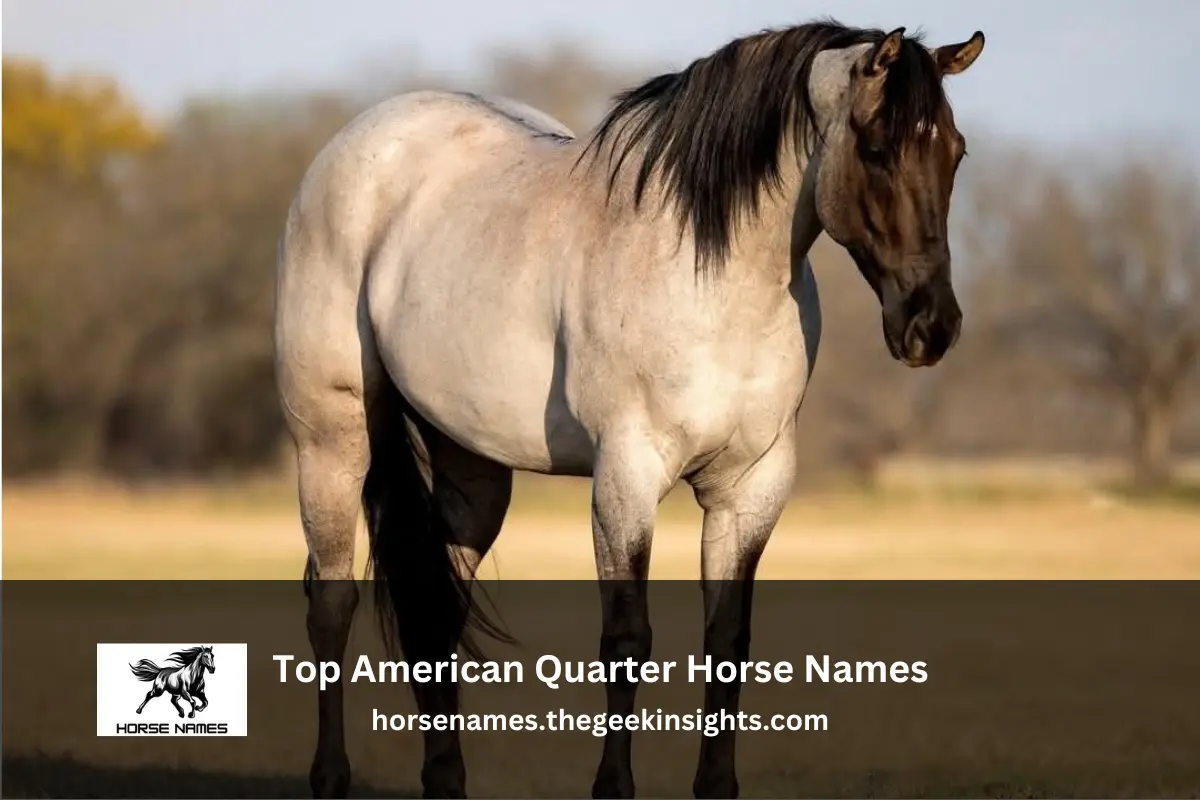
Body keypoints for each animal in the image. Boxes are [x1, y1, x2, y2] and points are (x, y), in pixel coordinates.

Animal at [274, 17, 985, 798]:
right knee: (331, 601)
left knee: (437, 605)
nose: (932, 327)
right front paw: (613, 785)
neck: (714, 280)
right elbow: (626, 638)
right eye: (878, 150)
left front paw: (716, 785)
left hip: (472, 468)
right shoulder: (627, 476)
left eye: (955, 152)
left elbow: (727, 640)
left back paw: (445, 777)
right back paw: (329, 776)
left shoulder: (751, 488)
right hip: (332, 443)